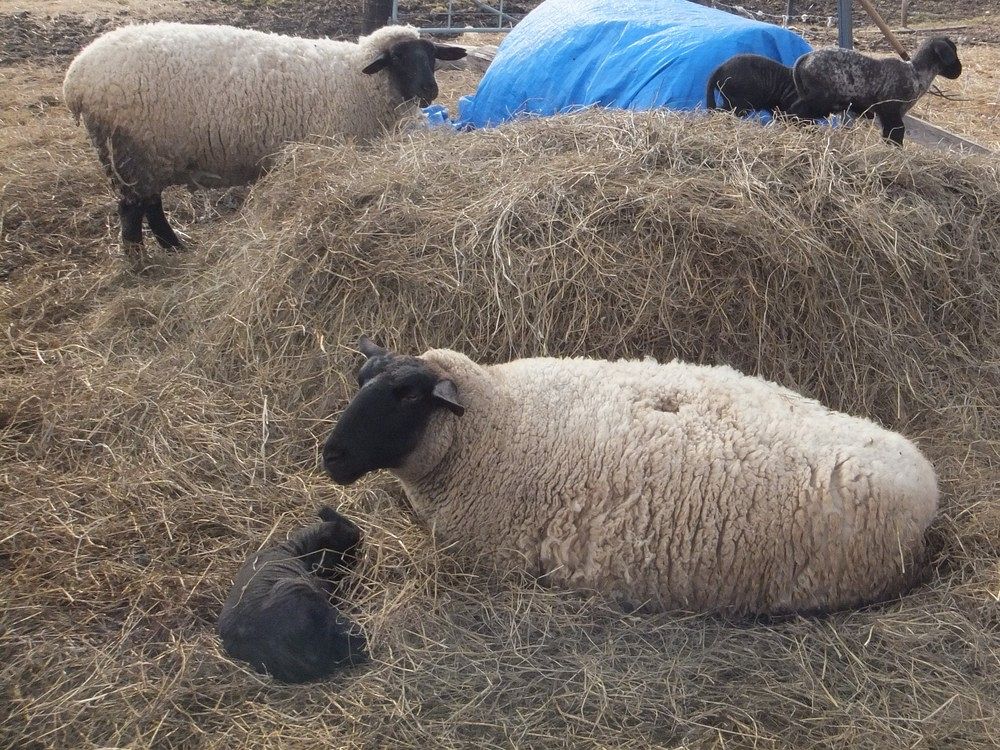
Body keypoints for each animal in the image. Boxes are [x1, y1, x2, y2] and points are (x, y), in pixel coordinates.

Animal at [64, 23, 462, 251]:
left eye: (431, 55)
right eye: (398, 58)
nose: (429, 91)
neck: (358, 80)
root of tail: (76, 77)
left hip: (147, 157)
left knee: (149, 204)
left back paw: (173, 247)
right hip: (132, 151)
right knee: (133, 210)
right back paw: (140, 260)